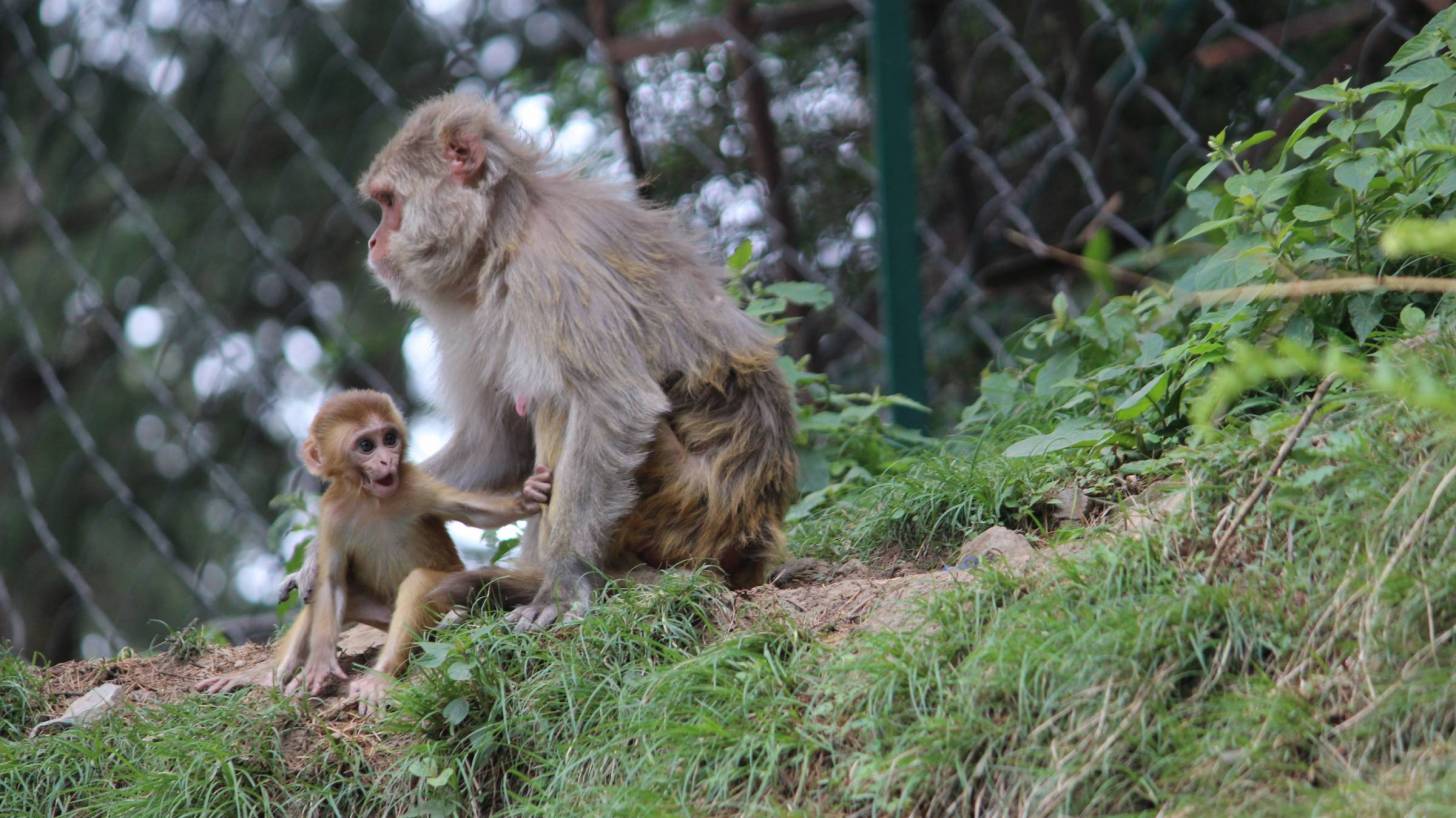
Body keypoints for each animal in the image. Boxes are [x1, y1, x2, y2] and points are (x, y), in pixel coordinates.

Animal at [196, 387, 547, 707]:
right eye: (366, 445)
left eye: (389, 438)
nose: (385, 459)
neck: (371, 500)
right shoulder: (332, 516)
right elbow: (331, 582)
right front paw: (318, 663)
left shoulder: (417, 484)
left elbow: (476, 512)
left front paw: (528, 496)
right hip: (380, 614)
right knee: (327, 595)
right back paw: (270, 675)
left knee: (420, 583)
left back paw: (381, 675)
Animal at [342, 92, 797, 625]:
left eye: (389, 202)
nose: (373, 241)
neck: (505, 230)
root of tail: (756, 534)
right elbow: (498, 445)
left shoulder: (552, 269)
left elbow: (614, 401)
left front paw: (563, 583)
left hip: (695, 509)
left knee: (560, 400)